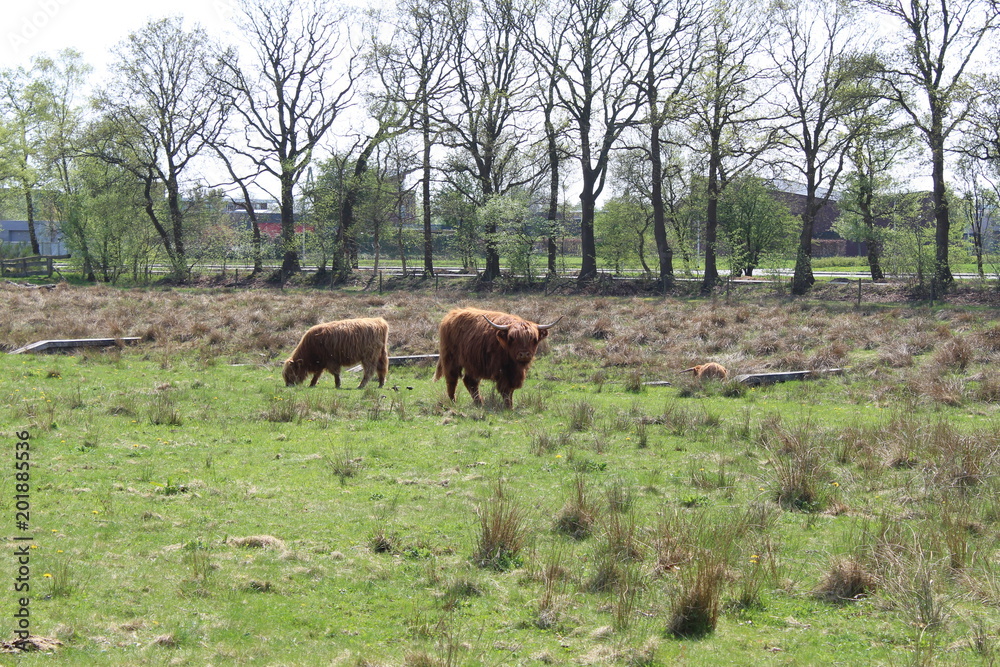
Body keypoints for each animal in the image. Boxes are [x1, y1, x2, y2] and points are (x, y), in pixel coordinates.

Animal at [436, 310, 564, 412]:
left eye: (534, 339)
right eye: (512, 338)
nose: (524, 354)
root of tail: (451, 314)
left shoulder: (515, 374)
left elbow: (511, 390)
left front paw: (511, 406)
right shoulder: (502, 371)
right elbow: (505, 390)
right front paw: (508, 407)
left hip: (473, 364)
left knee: (470, 382)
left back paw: (479, 403)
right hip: (450, 359)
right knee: (452, 380)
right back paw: (453, 402)